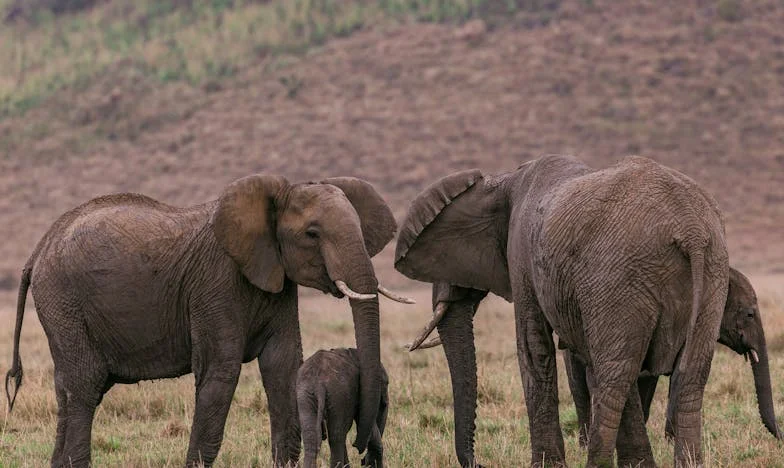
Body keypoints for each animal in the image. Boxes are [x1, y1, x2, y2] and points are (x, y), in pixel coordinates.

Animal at [396, 156, 732, 468]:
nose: (478, 462)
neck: (502, 182)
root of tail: (690, 229)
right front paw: (638, 465)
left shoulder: (522, 255)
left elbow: (533, 348)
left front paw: (546, 465)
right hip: (712, 273)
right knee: (689, 377)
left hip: (621, 277)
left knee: (616, 377)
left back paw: (596, 465)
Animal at [560, 266, 780, 448]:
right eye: (750, 314)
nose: (781, 438)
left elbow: (673, 378)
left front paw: (668, 442)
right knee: (579, 387)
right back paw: (585, 444)